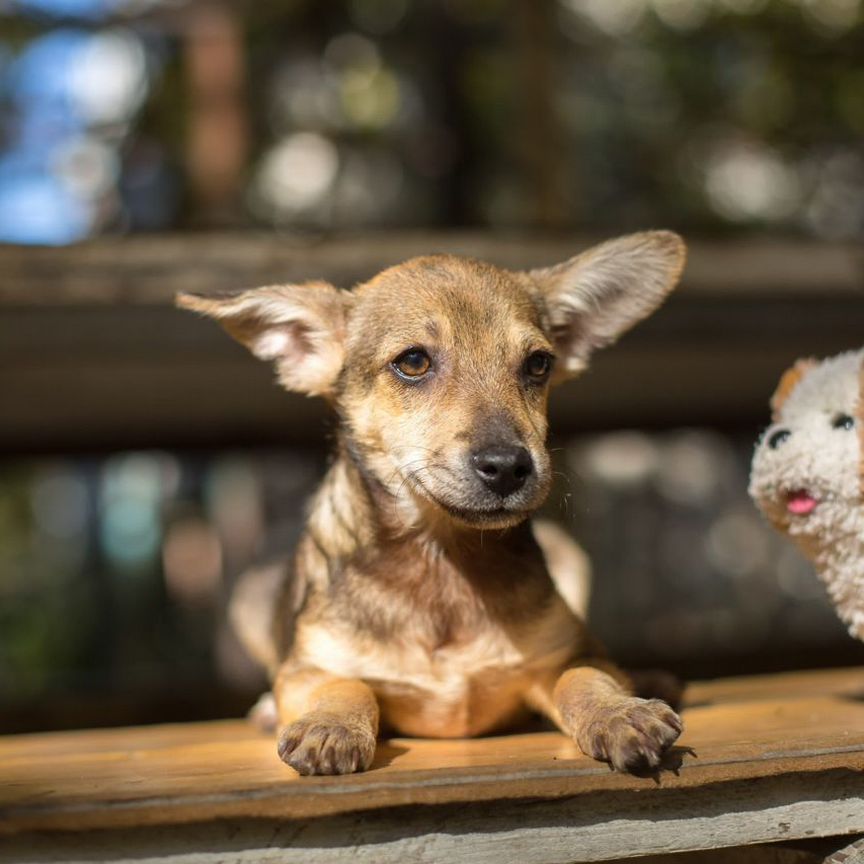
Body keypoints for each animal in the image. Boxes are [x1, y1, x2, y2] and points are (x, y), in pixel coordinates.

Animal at [177, 230, 688, 776]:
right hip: (249, 597)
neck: (441, 562)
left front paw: (620, 713)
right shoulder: (308, 668)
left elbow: (586, 677)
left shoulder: (571, 652)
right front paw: (330, 726)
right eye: (413, 362)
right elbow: (348, 684)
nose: (508, 466)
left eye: (539, 364)